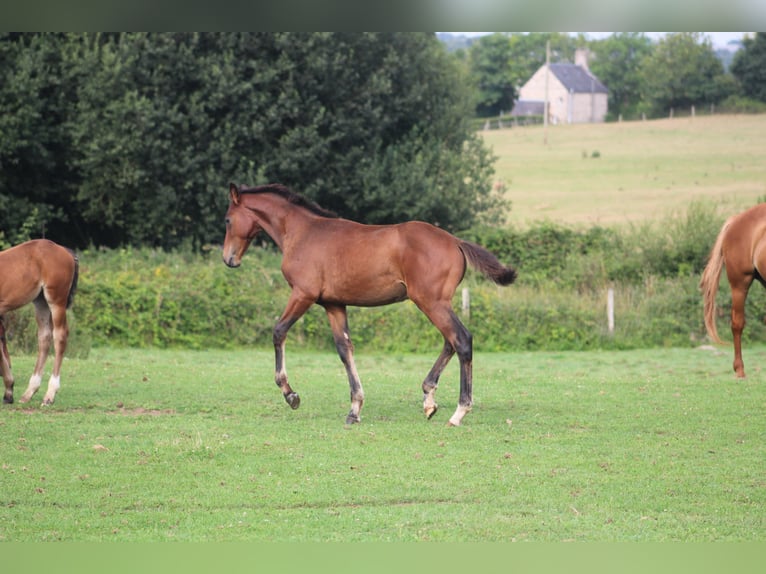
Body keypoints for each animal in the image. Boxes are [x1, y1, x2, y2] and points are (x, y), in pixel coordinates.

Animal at [0, 239, 79, 405]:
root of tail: (65, 251)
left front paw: (9, 391)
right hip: (40, 301)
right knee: (44, 337)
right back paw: (29, 392)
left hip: (56, 300)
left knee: (59, 336)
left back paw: (50, 394)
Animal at [222, 183, 516, 426]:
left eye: (227, 220)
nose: (228, 259)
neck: (302, 233)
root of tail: (455, 241)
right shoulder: (333, 304)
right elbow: (344, 349)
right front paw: (354, 409)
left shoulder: (302, 294)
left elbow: (278, 331)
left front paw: (290, 394)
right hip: (439, 303)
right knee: (450, 342)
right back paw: (429, 399)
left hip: (431, 302)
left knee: (461, 339)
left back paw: (458, 412)